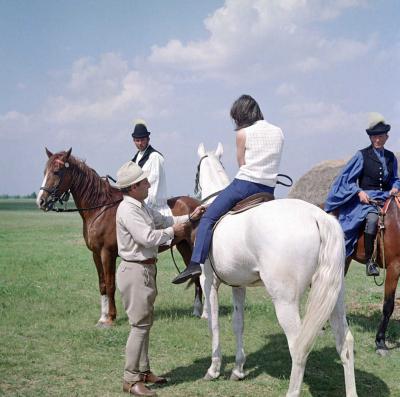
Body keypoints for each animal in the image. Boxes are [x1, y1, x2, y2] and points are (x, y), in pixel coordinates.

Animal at [36, 148, 202, 324]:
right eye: (45, 172)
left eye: (57, 171)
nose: (41, 201)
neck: (100, 209)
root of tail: (199, 205)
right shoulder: (96, 254)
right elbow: (102, 284)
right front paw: (102, 317)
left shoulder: (107, 253)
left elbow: (110, 284)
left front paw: (110, 317)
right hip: (184, 247)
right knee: (196, 274)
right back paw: (197, 310)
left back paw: (204, 313)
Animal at [197, 143, 356, 396]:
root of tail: (318, 217)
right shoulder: (238, 285)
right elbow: (238, 324)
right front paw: (238, 370)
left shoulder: (210, 282)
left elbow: (214, 324)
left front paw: (214, 369)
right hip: (334, 296)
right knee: (345, 343)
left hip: (285, 301)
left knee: (299, 347)